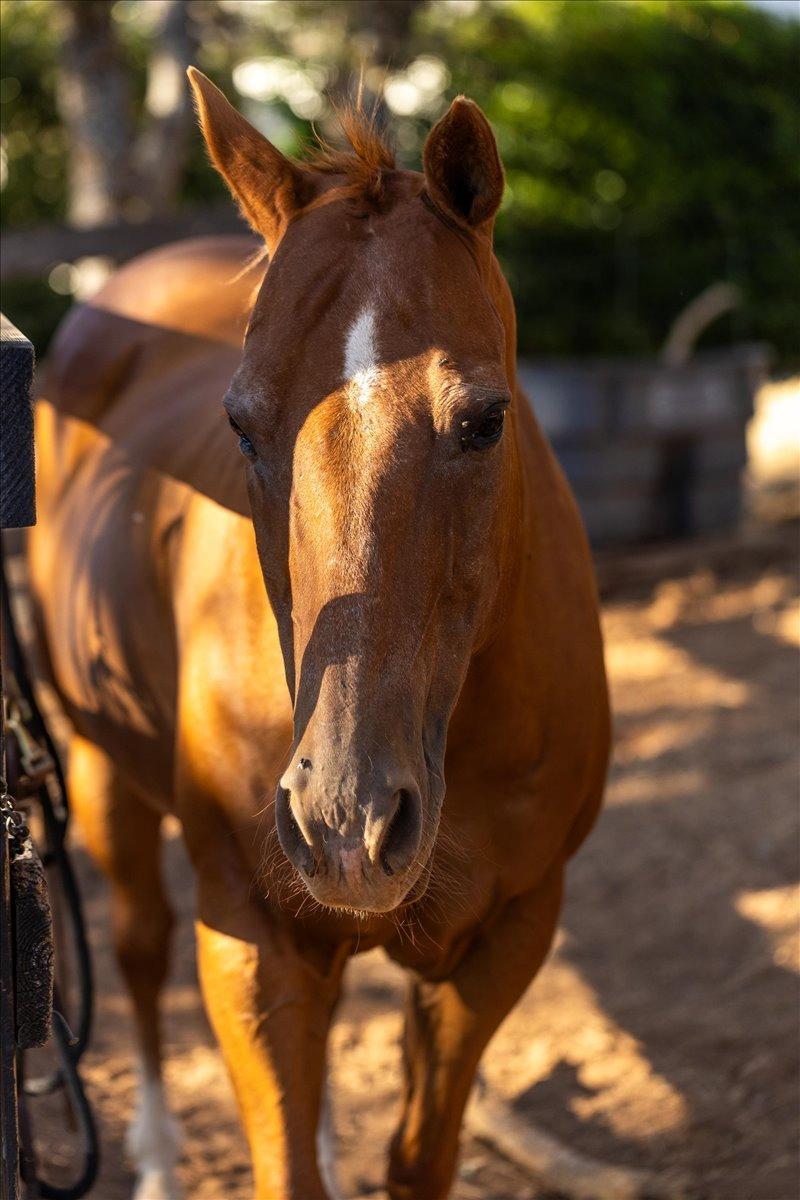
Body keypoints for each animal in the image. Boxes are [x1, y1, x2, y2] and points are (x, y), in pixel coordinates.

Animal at [28, 72, 609, 1200]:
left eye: (484, 419)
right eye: (241, 426)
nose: (345, 817)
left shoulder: (503, 939)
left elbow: (418, 1157)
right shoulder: (250, 943)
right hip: (96, 767)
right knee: (136, 945)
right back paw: (156, 1157)